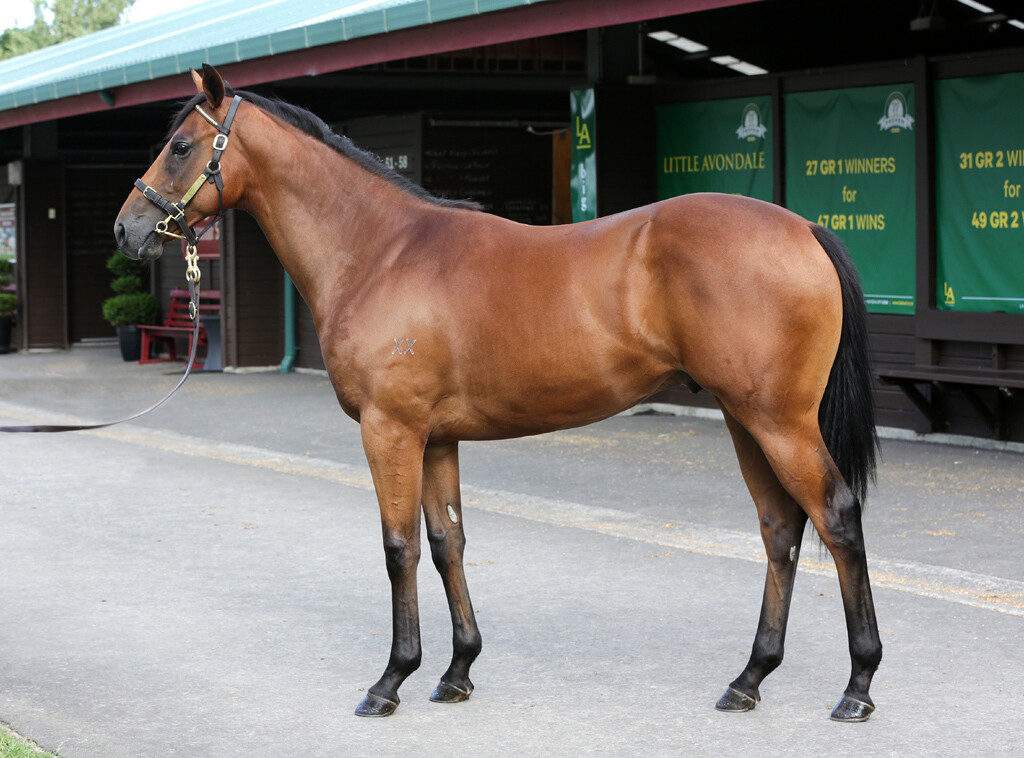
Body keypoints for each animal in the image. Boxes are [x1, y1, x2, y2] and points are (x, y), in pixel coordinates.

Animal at [112, 66, 880, 721]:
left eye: (180, 146)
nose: (127, 229)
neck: (379, 251)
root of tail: (803, 228)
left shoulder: (390, 430)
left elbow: (398, 547)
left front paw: (391, 679)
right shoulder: (435, 438)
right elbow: (447, 541)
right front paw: (456, 672)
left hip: (779, 422)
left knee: (837, 517)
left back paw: (858, 685)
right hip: (745, 420)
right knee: (780, 528)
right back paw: (749, 678)